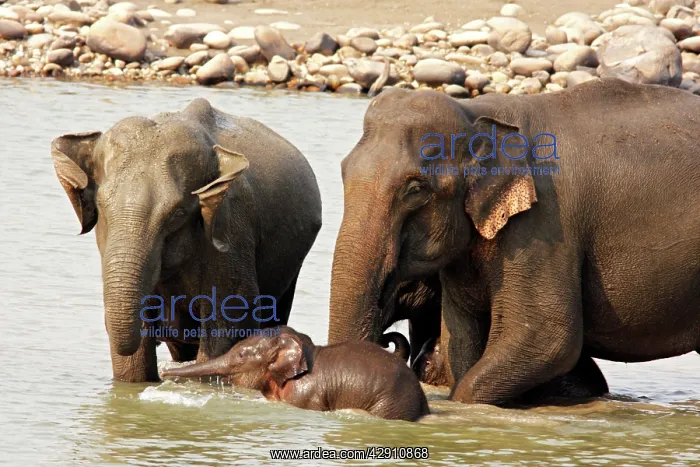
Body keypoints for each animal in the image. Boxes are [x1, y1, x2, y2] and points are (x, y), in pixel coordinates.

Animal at [327, 77, 700, 406]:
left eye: (415, 189)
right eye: (343, 171)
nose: (389, 340)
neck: (479, 112)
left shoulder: (543, 225)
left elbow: (546, 337)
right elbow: (462, 340)